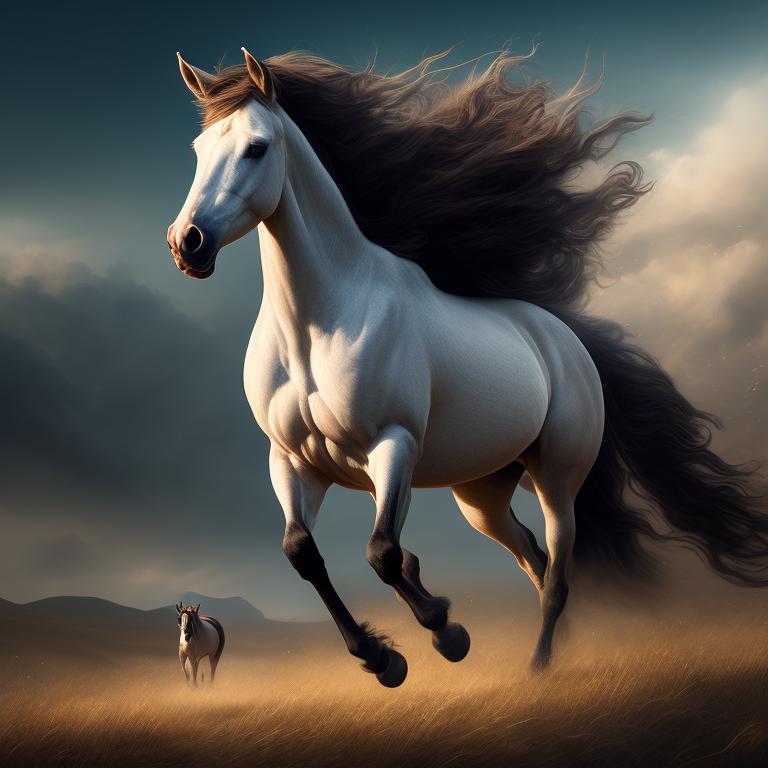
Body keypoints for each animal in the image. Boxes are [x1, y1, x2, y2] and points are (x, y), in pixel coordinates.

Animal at [166, 48, 768, 688]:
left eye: (257, 147)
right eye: (198, 150)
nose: (188, 243)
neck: (319, 324)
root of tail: (565, 338)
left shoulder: (393, 446)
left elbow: (382, 553)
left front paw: (444, 634)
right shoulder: (293, 460)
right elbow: (303, 554)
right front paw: (380, 657)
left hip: (557, 481)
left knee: (556, 574)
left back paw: (539, 667)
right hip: (483, 495)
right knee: (534, 559)